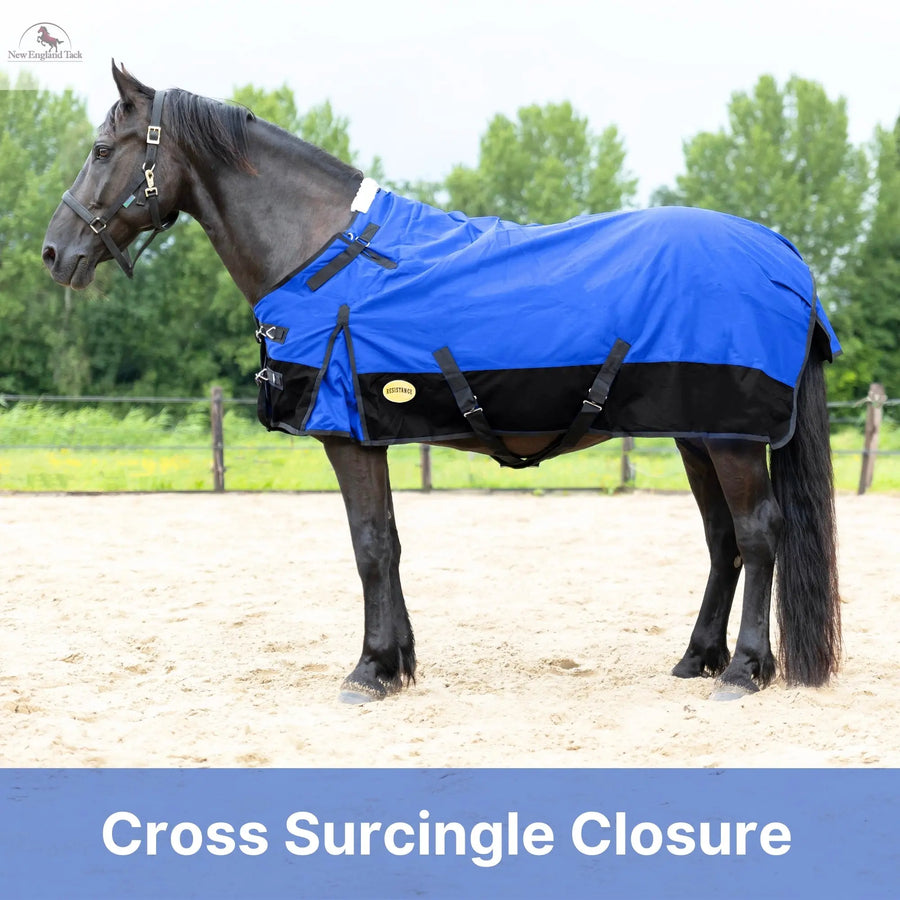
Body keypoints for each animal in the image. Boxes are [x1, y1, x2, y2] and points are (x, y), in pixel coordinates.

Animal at [42, 63, 841, 703]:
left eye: (101, 150)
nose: (55, 251)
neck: (325, 253)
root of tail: (781, 253)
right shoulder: (370, 436)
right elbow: (390, 542)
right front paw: (398, 664)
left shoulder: (347, 438)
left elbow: (369, 544)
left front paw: (369, 672)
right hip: (698, 433)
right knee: (722, 537)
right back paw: (697, 658)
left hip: (728, 437)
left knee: (759, 533)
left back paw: (744, 670)